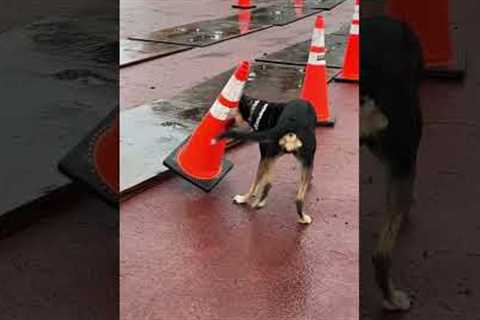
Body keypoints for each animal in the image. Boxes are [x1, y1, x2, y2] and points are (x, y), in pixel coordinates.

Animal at [216, 96, 316, 224]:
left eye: (233, 110)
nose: (228, 123)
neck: (259, 110)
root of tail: (290, 123)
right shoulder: (265, 157)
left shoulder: (268, 157)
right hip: (283, 158)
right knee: (269, 185)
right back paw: (248, 200)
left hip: (274, 157)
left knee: (297, 198)